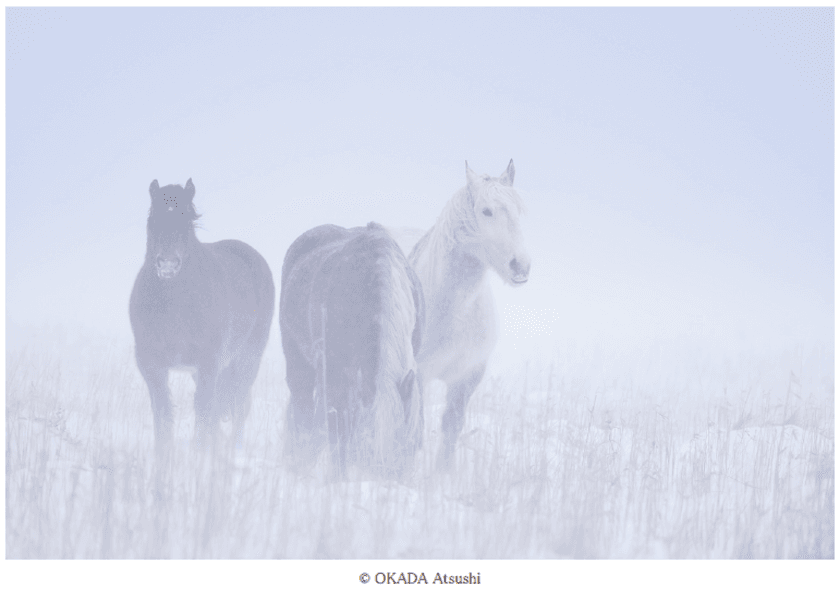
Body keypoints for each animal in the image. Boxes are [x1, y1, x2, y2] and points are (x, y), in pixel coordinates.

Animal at [130, 179, 276, 454]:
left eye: (187, 222)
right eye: (152, 220)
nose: (168, 265)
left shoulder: (209, 363)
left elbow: (204, 413)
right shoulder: (152, 366)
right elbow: (163, 414)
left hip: (247, 359)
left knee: (239, 405)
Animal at [282, 222, 426, 478]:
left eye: (412, 447)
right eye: (365, 454)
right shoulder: (335, 379)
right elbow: (338, 435)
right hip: (298, 362)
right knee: (303, 409)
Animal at [408, 160, 532, 468]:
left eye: (520, 211)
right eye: (486, 211)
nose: (521, 266)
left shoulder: (468, 377)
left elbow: (451, 428)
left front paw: (442, 473)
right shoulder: (420, 376)